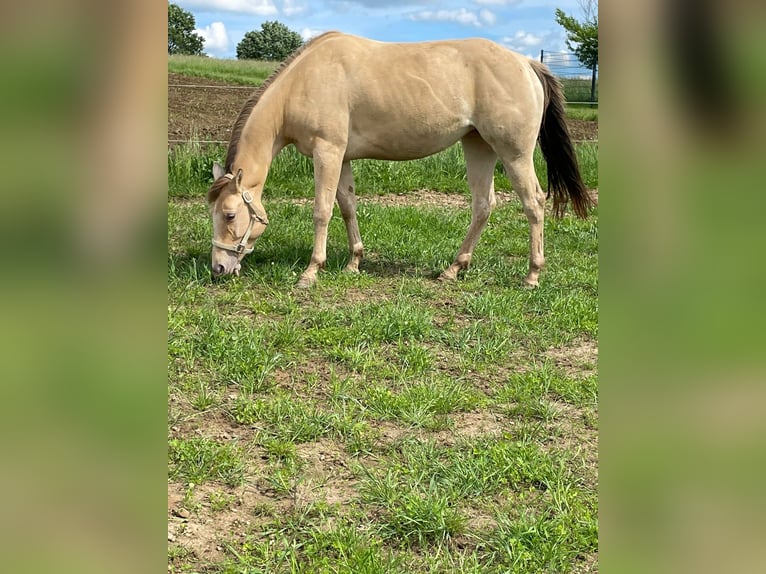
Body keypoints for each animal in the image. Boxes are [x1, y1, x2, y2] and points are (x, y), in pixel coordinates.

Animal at [207, 31, 596, 288]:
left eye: (230, 214)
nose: (219, 269)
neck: (305, 81)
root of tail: (526, 63)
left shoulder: (327, 152)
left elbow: (322, 210)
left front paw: (311, 272)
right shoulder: (342, 157)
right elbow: (348, 207)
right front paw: (354, 262)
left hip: (514, 153)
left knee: (534, 202)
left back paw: (531, 275)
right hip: (479, 147)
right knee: (484, 205)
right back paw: (453, 269)